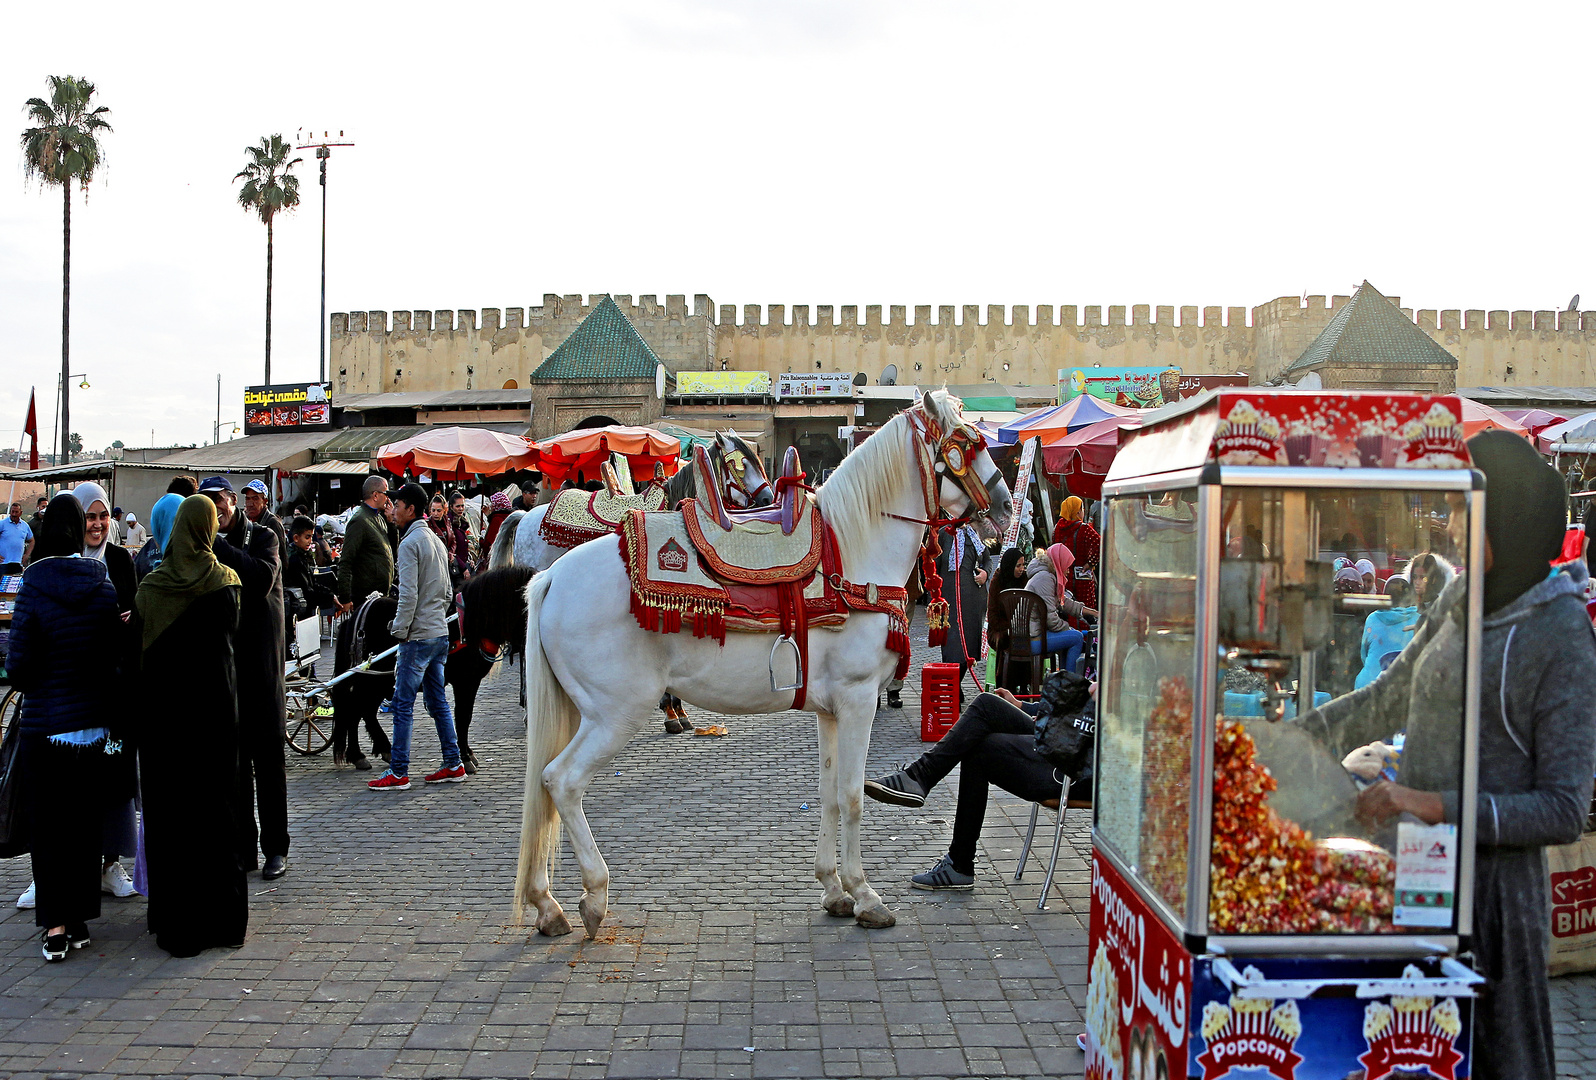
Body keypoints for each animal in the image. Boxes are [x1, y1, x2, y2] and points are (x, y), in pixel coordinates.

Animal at [330, 567, 536, 772]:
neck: (468, 624)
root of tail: (356, 615)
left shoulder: (470, 681)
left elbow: (465, 716)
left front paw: (467, 753)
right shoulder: (465, 681)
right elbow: (463, 716)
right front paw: (465, 757)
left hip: (377, 681)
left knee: (364, 710)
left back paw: (380, 750)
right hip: (369, 679)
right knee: (355, 709)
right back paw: (359, 754)